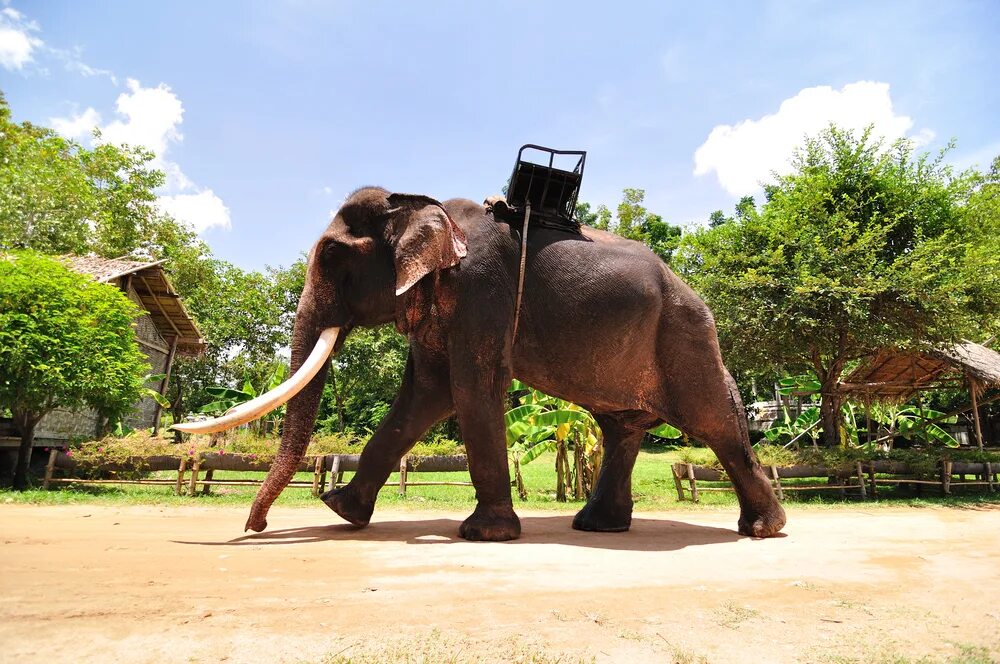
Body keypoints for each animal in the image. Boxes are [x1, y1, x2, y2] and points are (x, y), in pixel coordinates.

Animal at [174, 185, 788, 540]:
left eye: (330, 254)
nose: (254, 528)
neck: (420, 202)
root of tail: (693, 292)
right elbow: (426, 394)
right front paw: (341, 511)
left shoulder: (481, 291)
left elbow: (471, 390)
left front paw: (484, 534)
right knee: (622, 427)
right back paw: (597, 526)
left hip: (686, 339)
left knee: (715, 424)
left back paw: (763, 529)